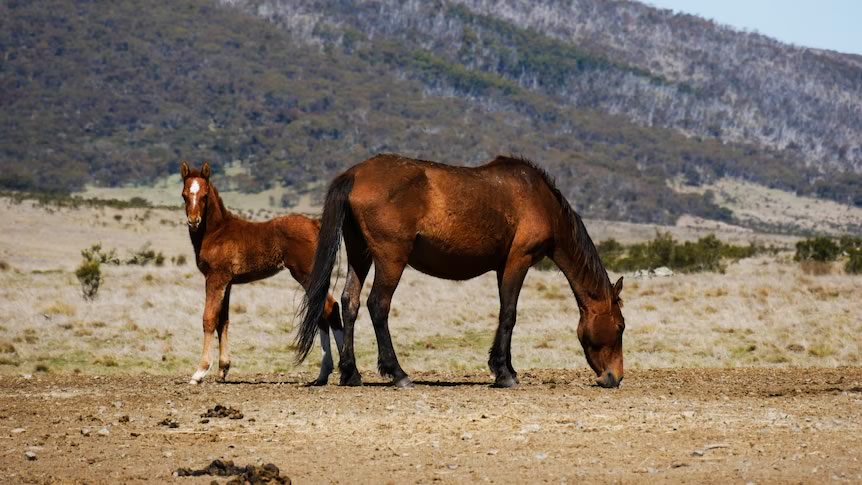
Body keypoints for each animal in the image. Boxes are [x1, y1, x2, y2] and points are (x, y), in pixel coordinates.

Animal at [180, 163, 344, 386]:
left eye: (204, 195)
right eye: (184, 195)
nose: (194, 221)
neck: (217, 232)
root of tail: (315, 224)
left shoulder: (215, 278)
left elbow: (209, 319)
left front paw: (199, 372)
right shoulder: (228, 283)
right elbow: (224, 320)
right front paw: (223, 369)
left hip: (308, 276)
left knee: (329, 308)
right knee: (324, 312)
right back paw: (325, 374)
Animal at [296, 155, 628, 390]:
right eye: (621, 326)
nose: (615, 377)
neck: (540, 200)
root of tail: (355, 174)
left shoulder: (503, 267)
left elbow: (504, 313)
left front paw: (506, 367)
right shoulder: (519, 260)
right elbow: (509, 314)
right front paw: (504, 373)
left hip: (360, 254)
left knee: (350, 302)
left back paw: (351, 373)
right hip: (391, 258)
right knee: (378, 305)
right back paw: (398, 374)